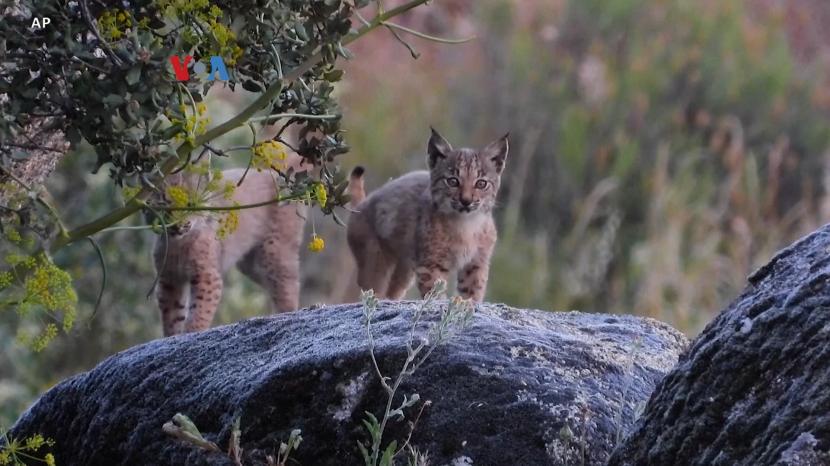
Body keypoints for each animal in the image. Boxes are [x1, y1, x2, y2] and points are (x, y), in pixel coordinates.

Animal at [153, 163, 306, 334]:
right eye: (164, 204)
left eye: (190, 204)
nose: (179, 225)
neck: (178, 243)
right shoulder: (169, 278)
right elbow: (172, 316)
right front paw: (172, 336)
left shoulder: (207, 275)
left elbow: (200, 311)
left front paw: (193, 332)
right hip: (251, 265)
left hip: (273, 250)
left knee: (288, 285)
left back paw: (288, 316)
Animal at [348, 128, 510, 302]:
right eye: (452, 181)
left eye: (481, 183)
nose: (466, 201)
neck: (466, 222)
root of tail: (361, 205)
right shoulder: (431, 264)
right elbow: (435, 293)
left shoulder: (477, 262)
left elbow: (473, 292)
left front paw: (467, 305)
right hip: (375, 260)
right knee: (373, 290)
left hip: (405, 267)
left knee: (393, 290)